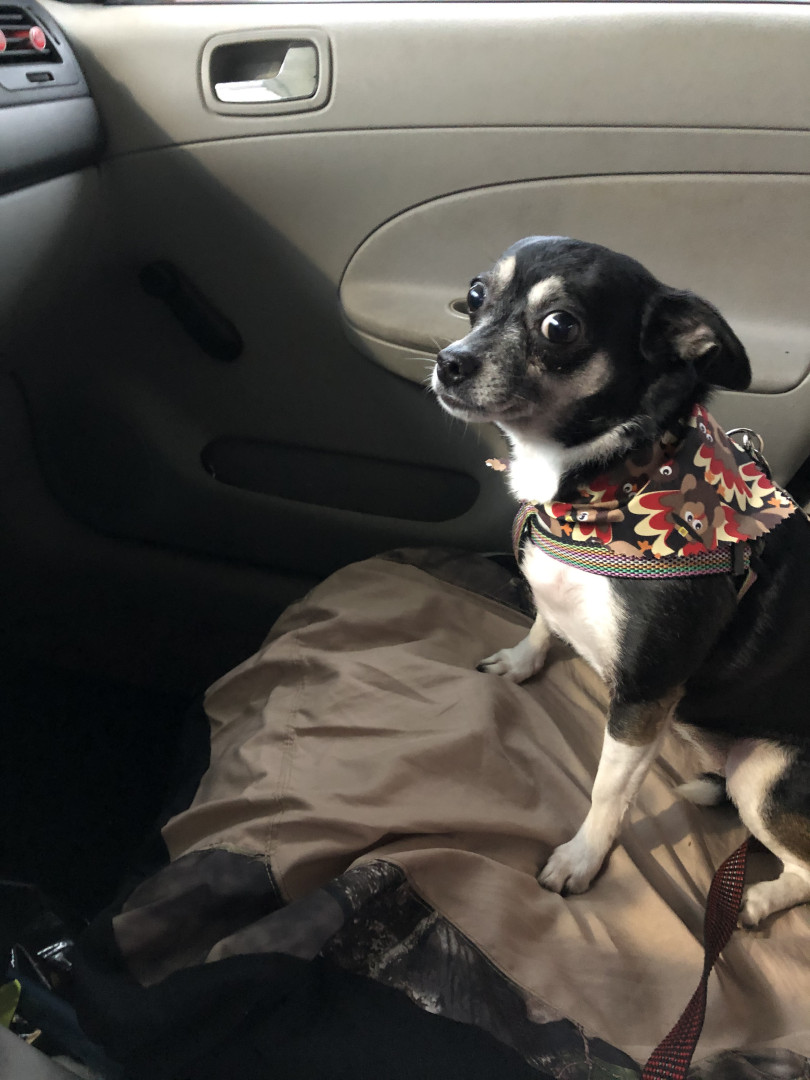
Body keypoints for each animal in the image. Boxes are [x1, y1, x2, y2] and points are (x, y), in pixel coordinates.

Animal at [431, 236, 810, 927]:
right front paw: (520, 662)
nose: (449, 363)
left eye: (560, 326)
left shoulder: (643, 698)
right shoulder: (557, 602)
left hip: (764, 775)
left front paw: (582, 859)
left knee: (805, 866)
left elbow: (608, 789)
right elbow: (543, 622)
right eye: (475, 294)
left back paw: (756, 900)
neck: (612, 487)